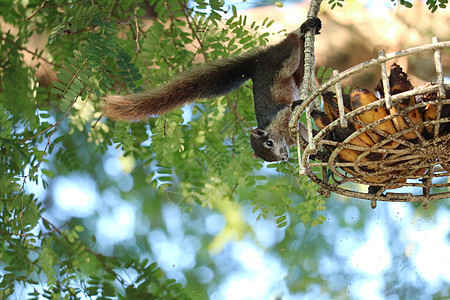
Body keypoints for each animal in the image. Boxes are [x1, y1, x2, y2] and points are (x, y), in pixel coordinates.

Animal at [103, 17, 320, 162]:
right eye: (268, 157)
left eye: (269, 143)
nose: (284, 157)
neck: (278, 132)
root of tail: (257, 61)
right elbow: (303, 131)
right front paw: (315, 146)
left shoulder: (282, 116)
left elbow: (290, 111)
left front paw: (299, 108)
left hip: (281, 60)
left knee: (291, 44)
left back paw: (304, 28)